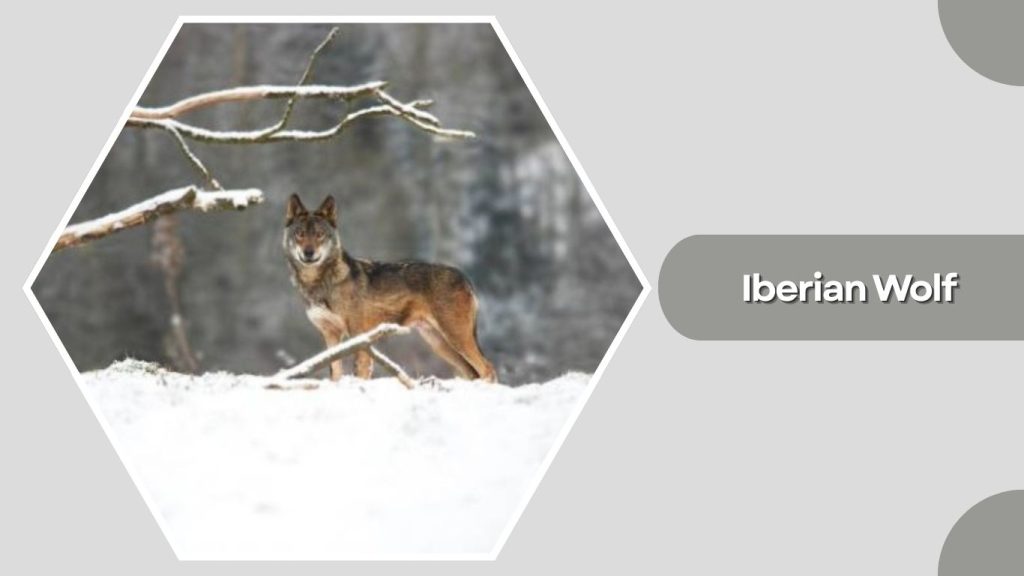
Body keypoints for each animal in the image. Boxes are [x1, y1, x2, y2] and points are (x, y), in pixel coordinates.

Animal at [283, 194, 497, 383]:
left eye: (319, 235)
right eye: (300, 234)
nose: (308, 253)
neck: (319, 283)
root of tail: (464, 277)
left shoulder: (360, 336)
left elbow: (360, 373)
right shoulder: (330, 335)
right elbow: (335, 373)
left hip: (456, 338)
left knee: (488, 367)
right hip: (439, 344)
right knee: (472, 372)